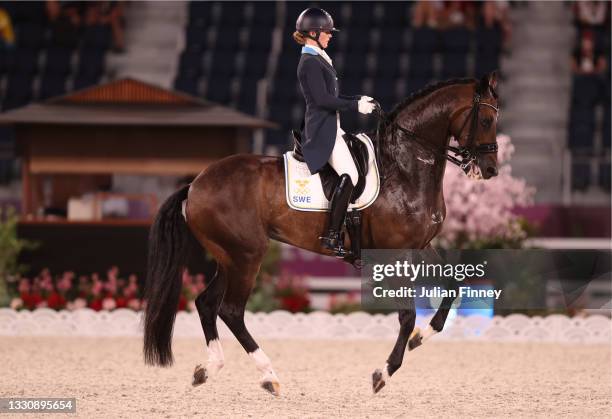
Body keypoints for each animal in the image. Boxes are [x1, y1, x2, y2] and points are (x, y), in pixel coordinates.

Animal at [145, 70, 502, 396]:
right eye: (486, 119)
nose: (490, 170)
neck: (404, 168)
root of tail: (195, 184)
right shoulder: (394, 253)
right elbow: (407, 314)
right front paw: (383, 373)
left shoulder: (420, 245)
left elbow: (452, 288)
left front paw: (418, 340)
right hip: (247, 255)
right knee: (230, 311)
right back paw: (269, 376)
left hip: (229, 257)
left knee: (206, 303)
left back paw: (209, 368)